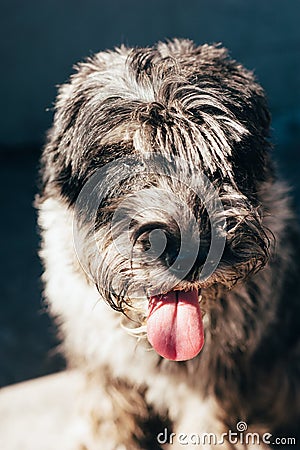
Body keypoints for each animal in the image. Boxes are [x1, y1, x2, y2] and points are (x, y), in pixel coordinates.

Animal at [37, 40, 300, 448]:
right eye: (120, 156)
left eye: (226, 158)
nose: (193, 255)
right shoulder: (101, 365)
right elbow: (107, 418)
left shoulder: (219, 390)